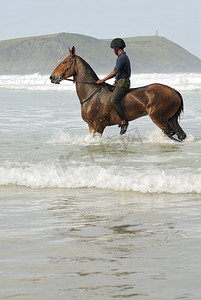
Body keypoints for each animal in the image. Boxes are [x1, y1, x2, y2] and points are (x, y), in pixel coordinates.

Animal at [49, 46, 187, 141]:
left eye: (65, 62)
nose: (52, 77)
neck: (92, 94)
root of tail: (174, 91)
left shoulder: (99, 125)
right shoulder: (91, 126)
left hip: (159, 118)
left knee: (170, 133)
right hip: (171, 119)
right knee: (180, 135)